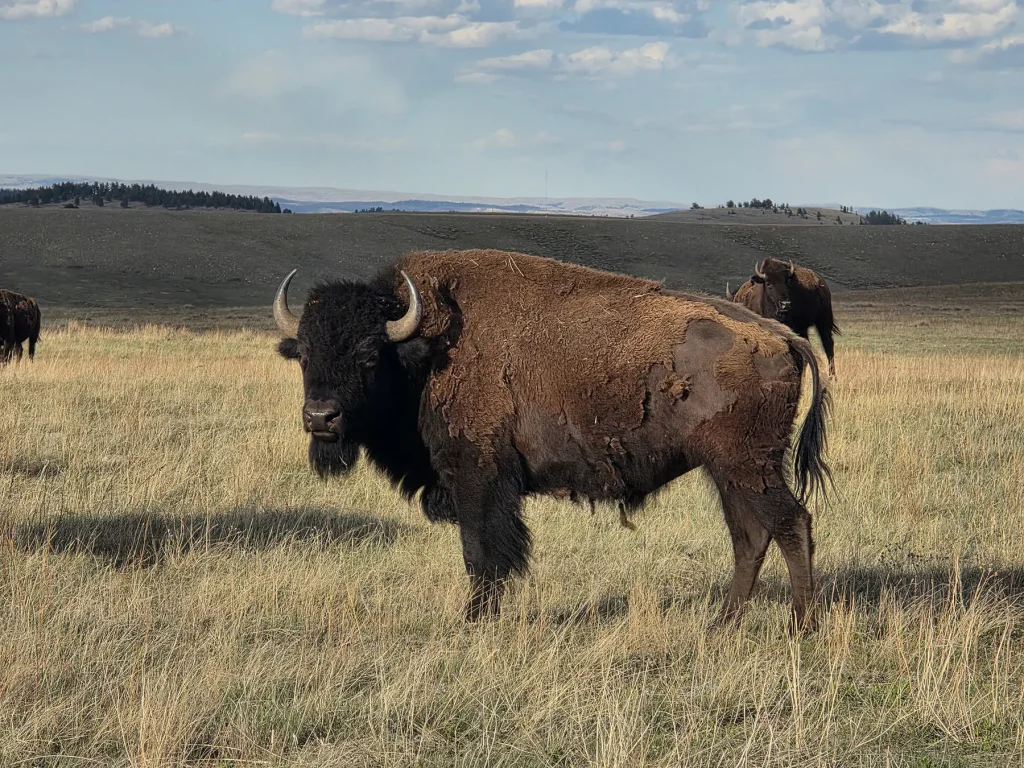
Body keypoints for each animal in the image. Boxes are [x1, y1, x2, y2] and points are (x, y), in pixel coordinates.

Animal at [273, 249, 832, 633]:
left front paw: (474, 621)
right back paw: (722, 624)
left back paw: (799, 626)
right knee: (750, 537)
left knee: (791, 524)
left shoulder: (478, 479)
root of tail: (780, 335)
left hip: (747, 466)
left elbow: (481, 553)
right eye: (304, 353)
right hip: (730, 473)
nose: (320, 418)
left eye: (369, 356)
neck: (423, 354)